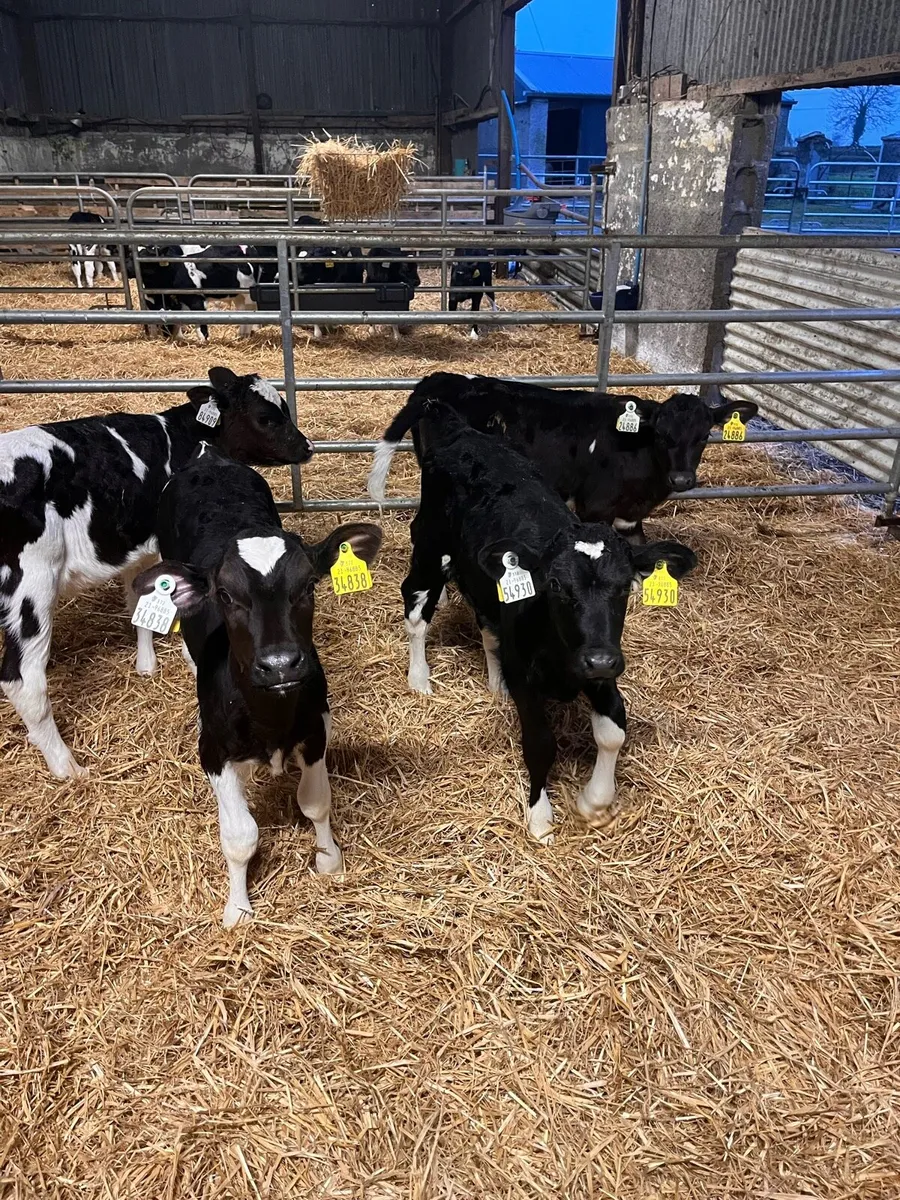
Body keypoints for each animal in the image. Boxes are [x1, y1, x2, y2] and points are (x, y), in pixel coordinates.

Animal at [0, 366, 313, 780]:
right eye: (266, 417)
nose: (307, 447)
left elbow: (140, 601)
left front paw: (146, 663)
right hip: (31, 588)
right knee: (23, 680)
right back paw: (66, 765)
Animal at [133, 445, 382, 927]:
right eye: (225, 594)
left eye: (309, 585)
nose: (281, 664)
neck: (271, 719)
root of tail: (210, 459)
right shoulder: (213, 753)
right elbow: (240, 836)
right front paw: (237, 908)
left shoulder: (315, 730)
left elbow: (315, 801)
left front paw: (329, 860)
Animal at [368, 372, 758, 542]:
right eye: (662, 435)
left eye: (704, 435)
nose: (682, 479)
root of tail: (439, 380)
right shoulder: (594, 508)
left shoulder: (630, 517)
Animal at [398, 401, 696, 843]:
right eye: (555, 584)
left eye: (625, 586)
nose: (599, 661)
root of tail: (461, 431)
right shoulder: (529, 677)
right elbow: (540, 743)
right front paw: (540, 818)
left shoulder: (602, 662)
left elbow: (614, 731)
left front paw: (594, 802)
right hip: (430, 550)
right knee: (417, 610)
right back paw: (419, 678)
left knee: (487, 626)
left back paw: (494, 682)